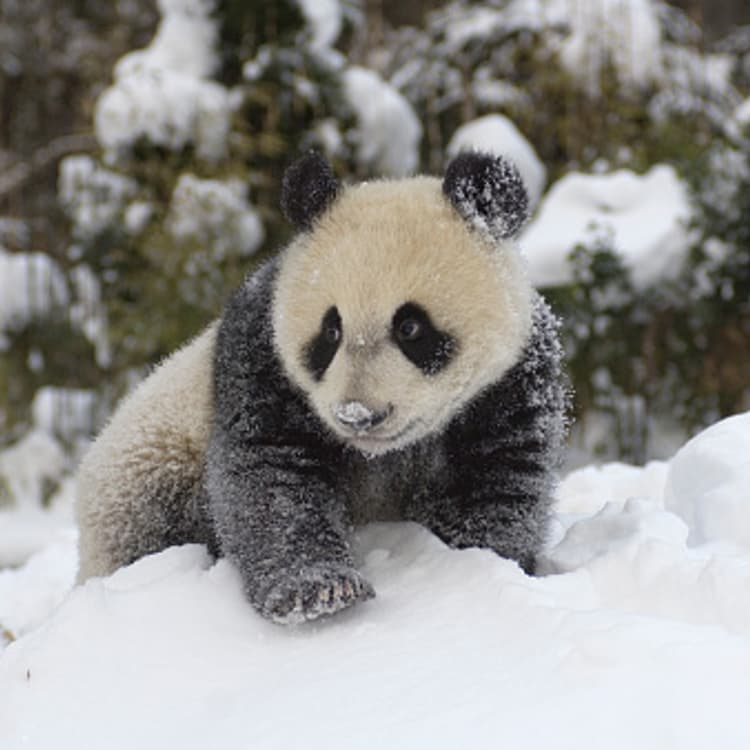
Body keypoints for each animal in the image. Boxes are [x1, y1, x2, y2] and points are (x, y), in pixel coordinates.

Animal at [76, 151, 570, 624]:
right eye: (331, 331)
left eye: (410, 327)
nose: (358, 414)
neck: (380, 453)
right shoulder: (260, 358)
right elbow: (271, 475)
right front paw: (322, 590)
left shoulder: (512, 380)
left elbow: (498, 480)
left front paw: (470, 567)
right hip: (148, 464)